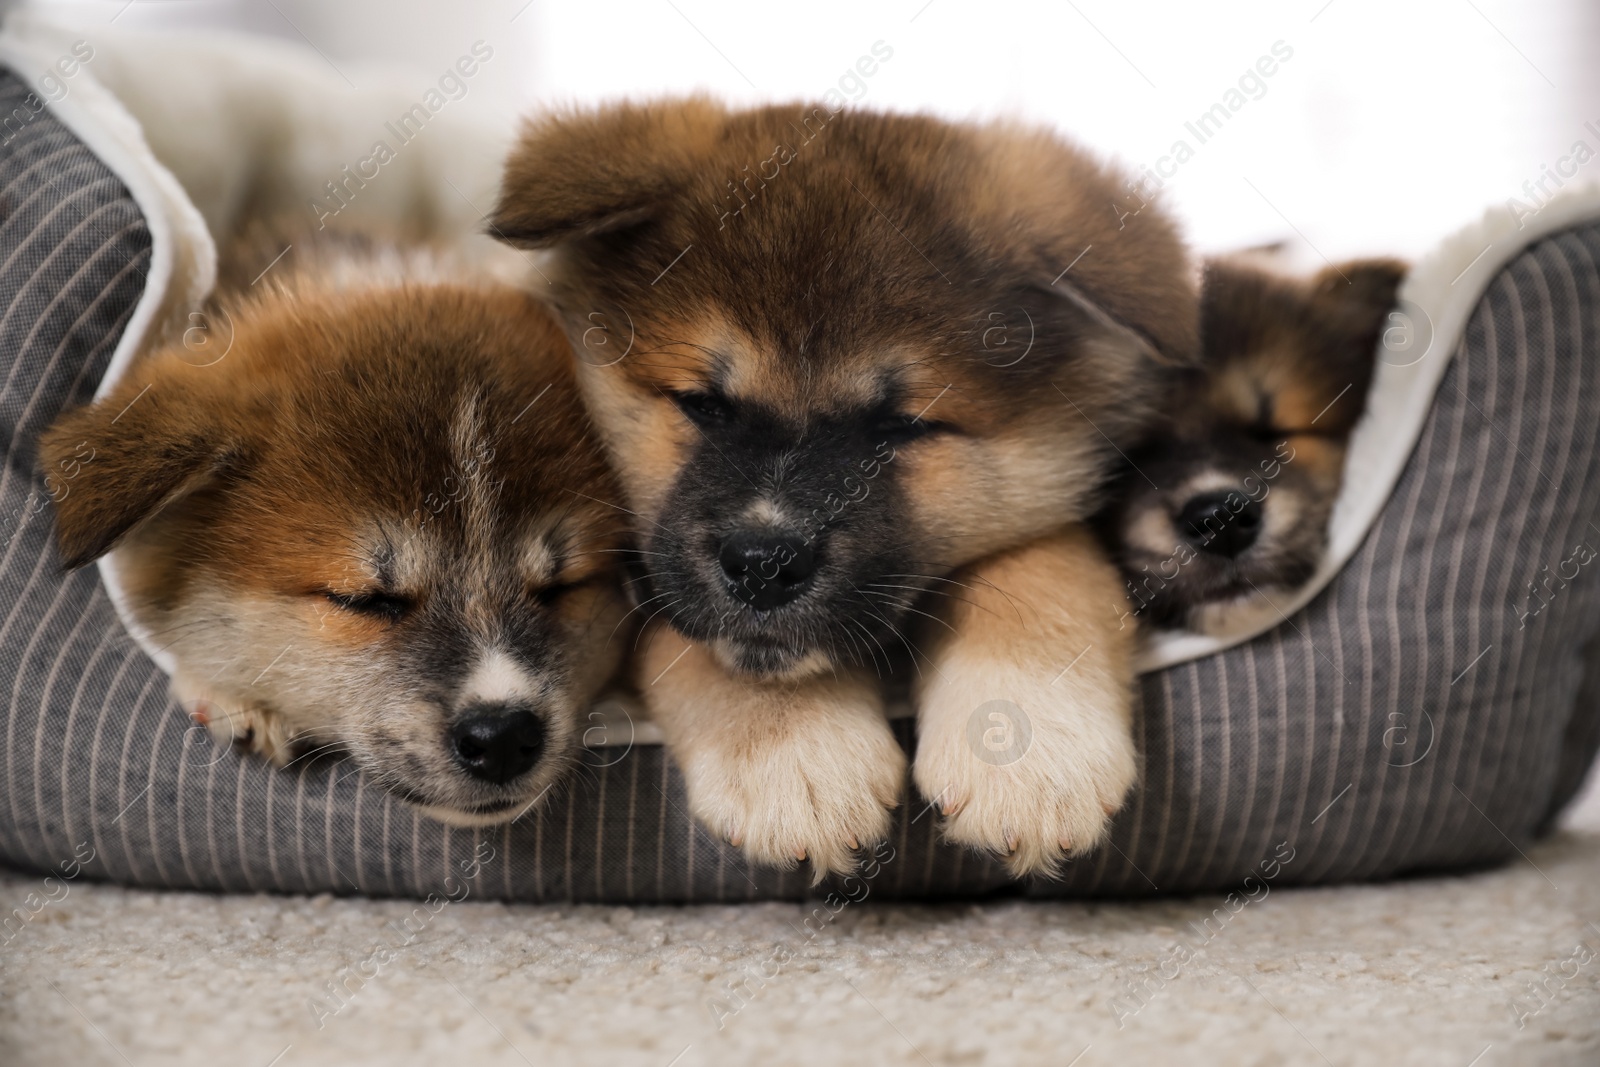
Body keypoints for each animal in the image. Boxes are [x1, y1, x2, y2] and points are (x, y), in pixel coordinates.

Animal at [492, 97, 1196, 876]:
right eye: (703, 404)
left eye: (899, 426)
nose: (762, 564)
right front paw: (797, 750)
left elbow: (1049, 572)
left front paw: (1030, 742)